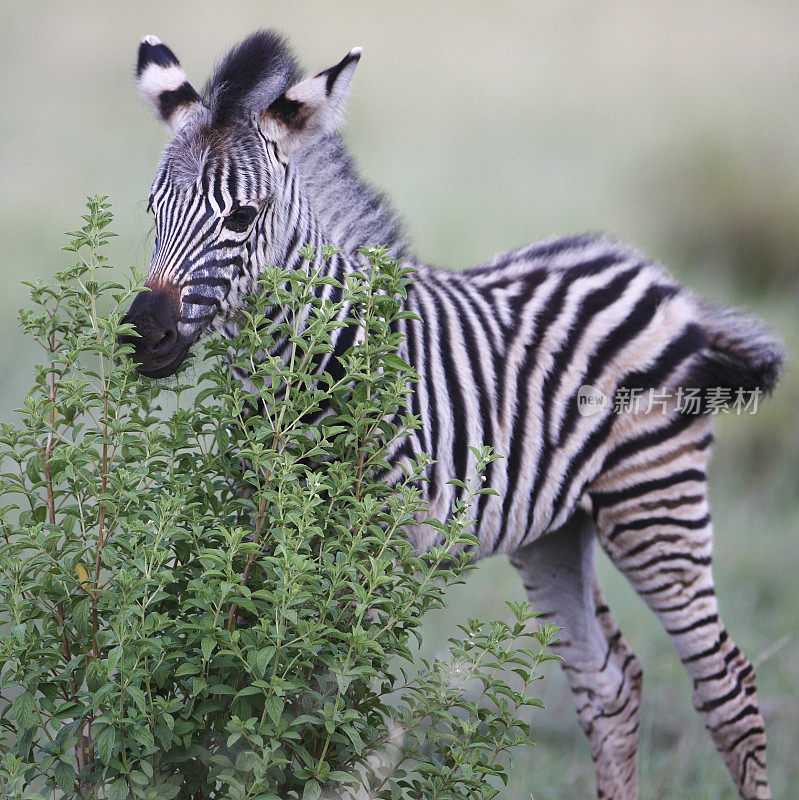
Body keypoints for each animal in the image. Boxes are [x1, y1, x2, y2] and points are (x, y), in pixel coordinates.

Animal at [125, 31, 788, 800]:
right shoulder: (278, 531)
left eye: (240, 217)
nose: (144, 335)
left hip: (655, 499)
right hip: (555, 528)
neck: (311, 366)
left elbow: (337, 702)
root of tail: (659, 279)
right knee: (608, 681)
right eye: (152, 210)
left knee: (726, 684)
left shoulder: (382, 538)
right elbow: (274, 675)